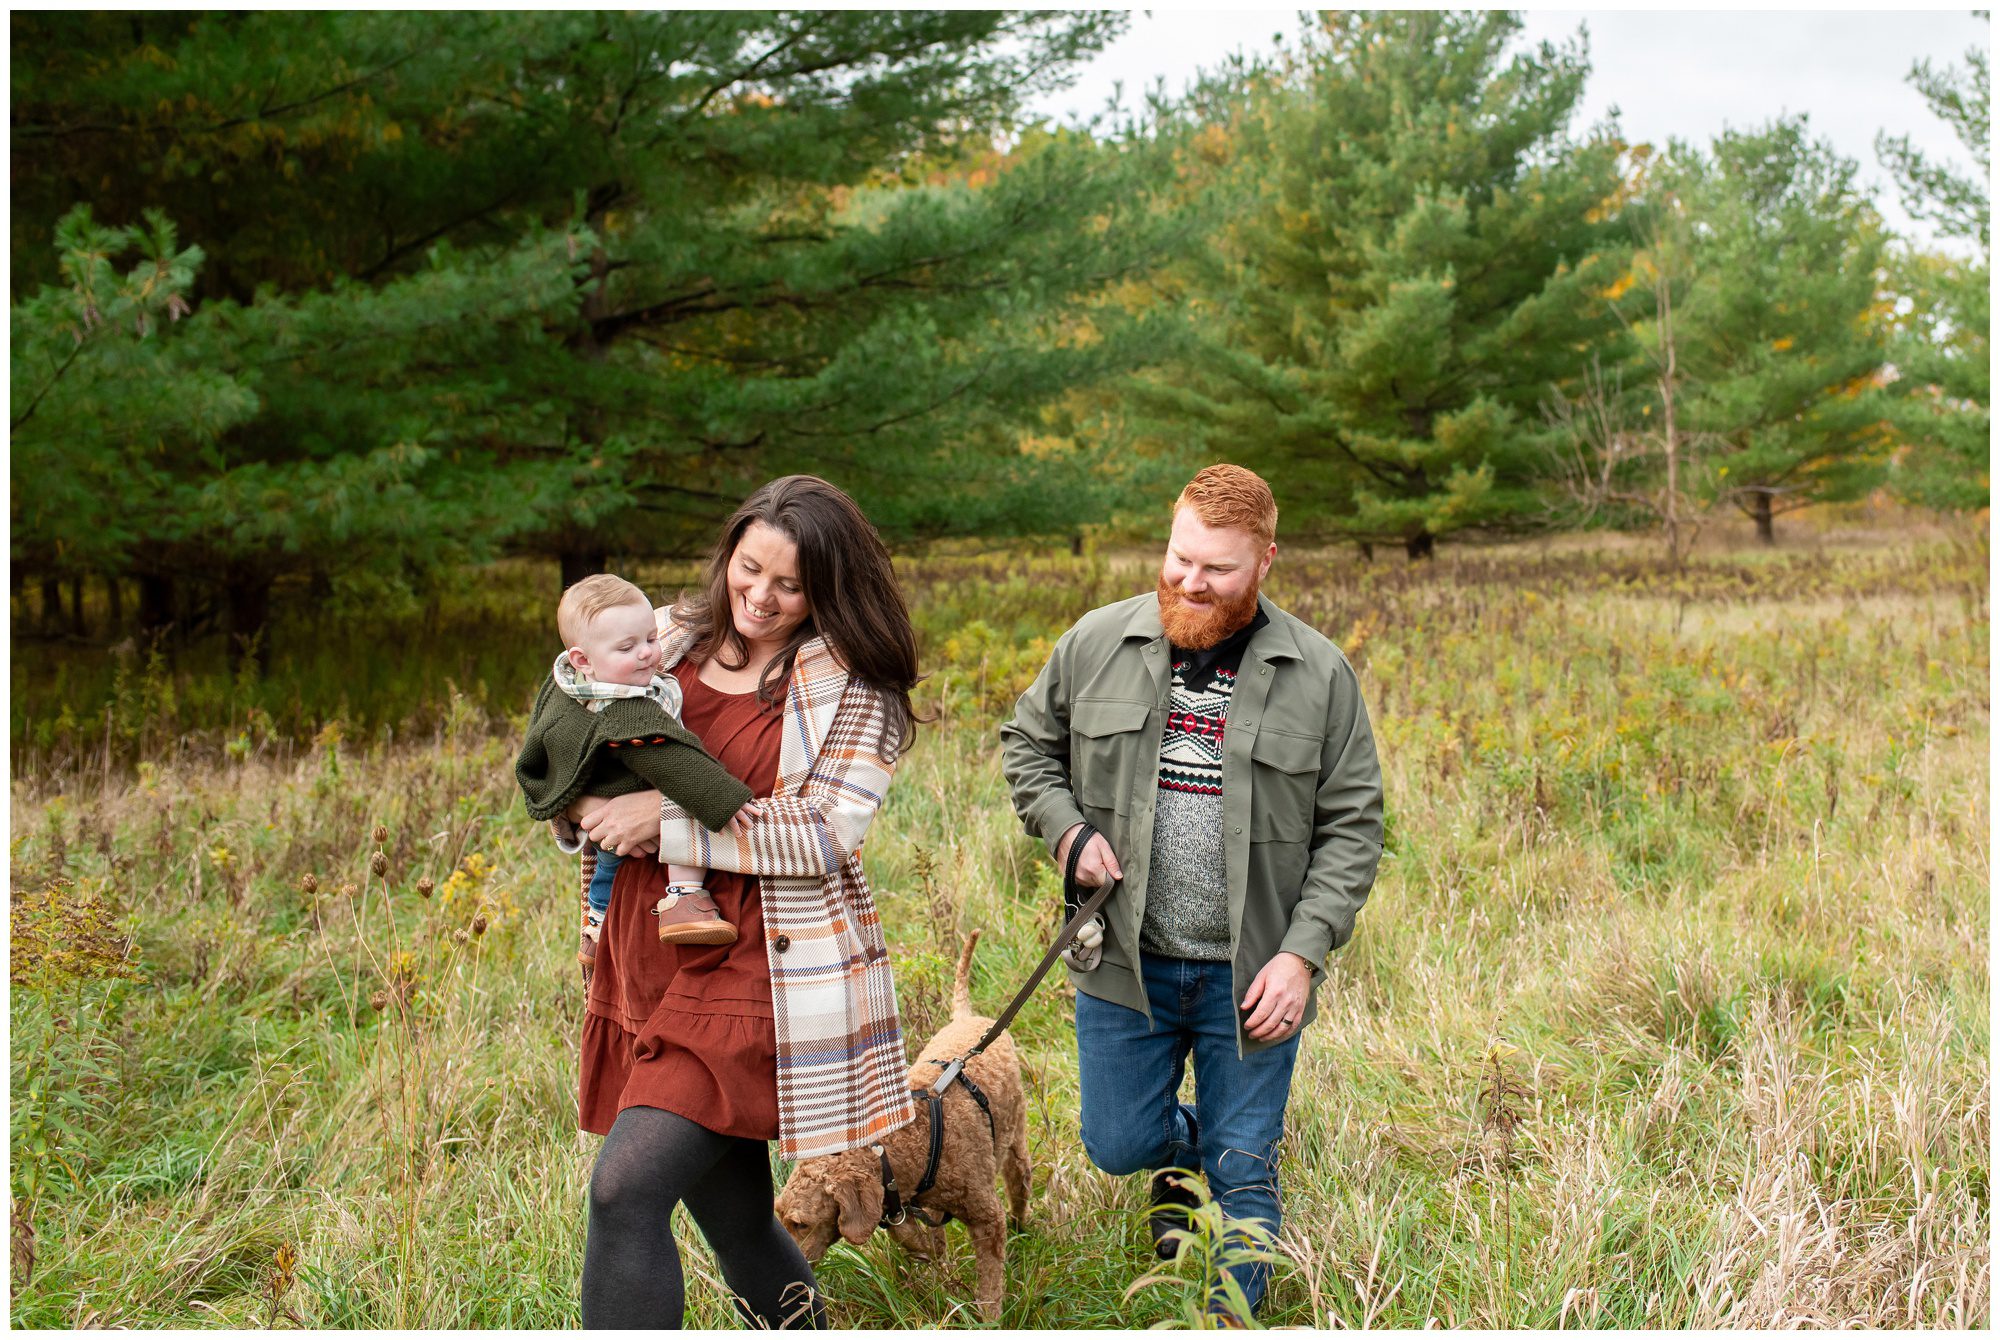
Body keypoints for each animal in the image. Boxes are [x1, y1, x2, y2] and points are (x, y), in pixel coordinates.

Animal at [772, 936, 1032, 1320]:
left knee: (1019, 1184)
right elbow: (927, 1247)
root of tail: (968, 1017)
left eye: (800, 1223)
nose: (795, 1288)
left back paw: (1022, 1225)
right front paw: (943, 1282)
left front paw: (987, 1320)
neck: (899, 1145)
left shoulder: (987, 1220)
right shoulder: (909, 1209)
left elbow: (988, 1284)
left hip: (1015, 1139)